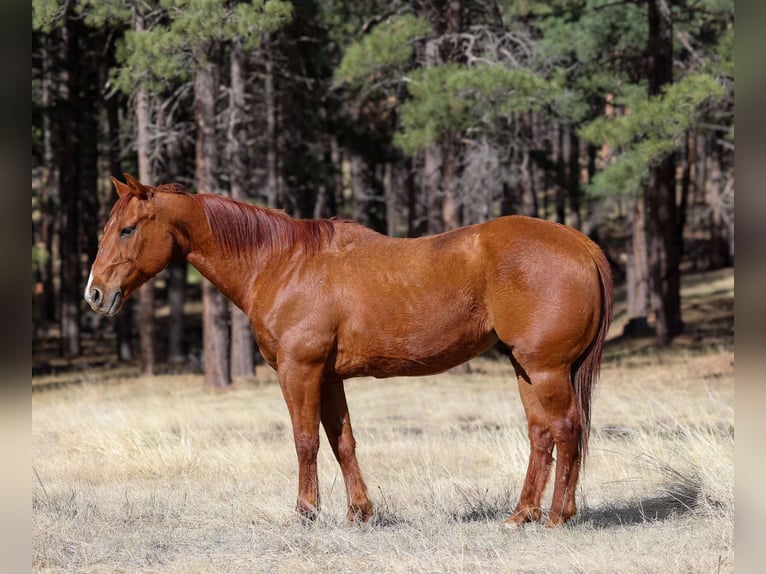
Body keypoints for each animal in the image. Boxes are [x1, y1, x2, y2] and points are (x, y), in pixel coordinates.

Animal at [85, 174, 613, 528]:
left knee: (566, 430)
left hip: (546, 369)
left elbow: (305, 441)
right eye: (107, 228)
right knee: (541, 435)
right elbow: (343, 442)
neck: (282, 264)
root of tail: (580, 243)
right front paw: (359, 513)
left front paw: (305, 513)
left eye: (128, 229)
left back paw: (557, 517)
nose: (94, 293)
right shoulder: (329, 377)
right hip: (524, 368)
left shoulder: (299, 371)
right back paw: (520, 514)